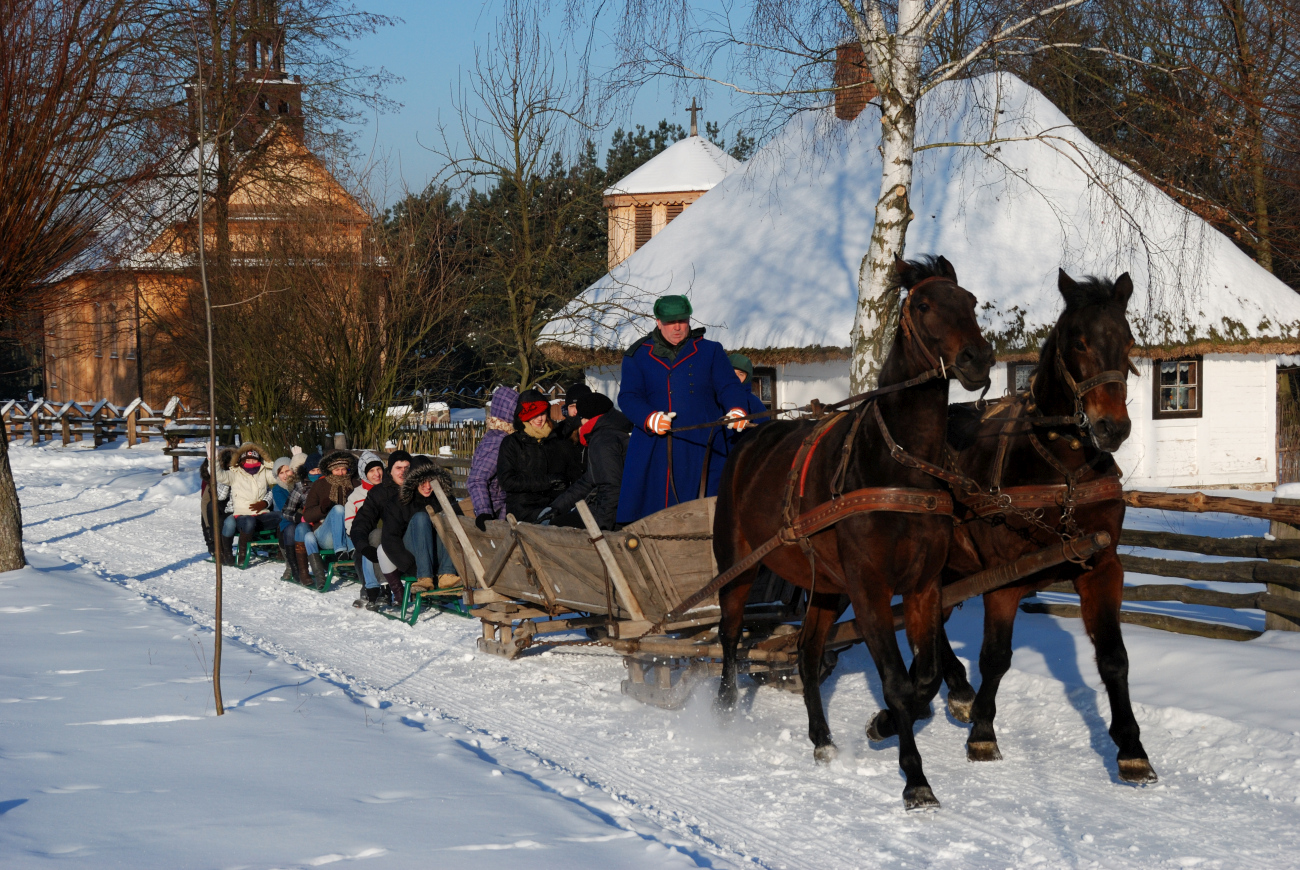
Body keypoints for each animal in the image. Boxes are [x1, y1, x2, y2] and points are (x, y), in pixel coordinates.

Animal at [717, 254, 987, 811]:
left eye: (971, 301)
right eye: (924, 305)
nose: (978, 360)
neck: (896, 465)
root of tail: (748, 442)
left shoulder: (922, 585)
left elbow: (923, 676)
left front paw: (885, 724)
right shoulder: (870, 588)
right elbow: (896, 681)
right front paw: (915, 777)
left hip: (826, 587)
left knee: (805, 652)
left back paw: (821, 739)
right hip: (737, 566)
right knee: (728, 637)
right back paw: (726, 710)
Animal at [920, 267, 1164, 785]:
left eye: (1129, 341)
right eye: (1078, 341)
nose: (1112, 427)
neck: (1063, 471)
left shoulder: (1101, 566)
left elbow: (1113, 658)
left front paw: (1131, 747)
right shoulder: (1003, 579)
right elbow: (995, 657)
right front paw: (983, 733)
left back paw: (953, 687)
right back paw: (959, 692)